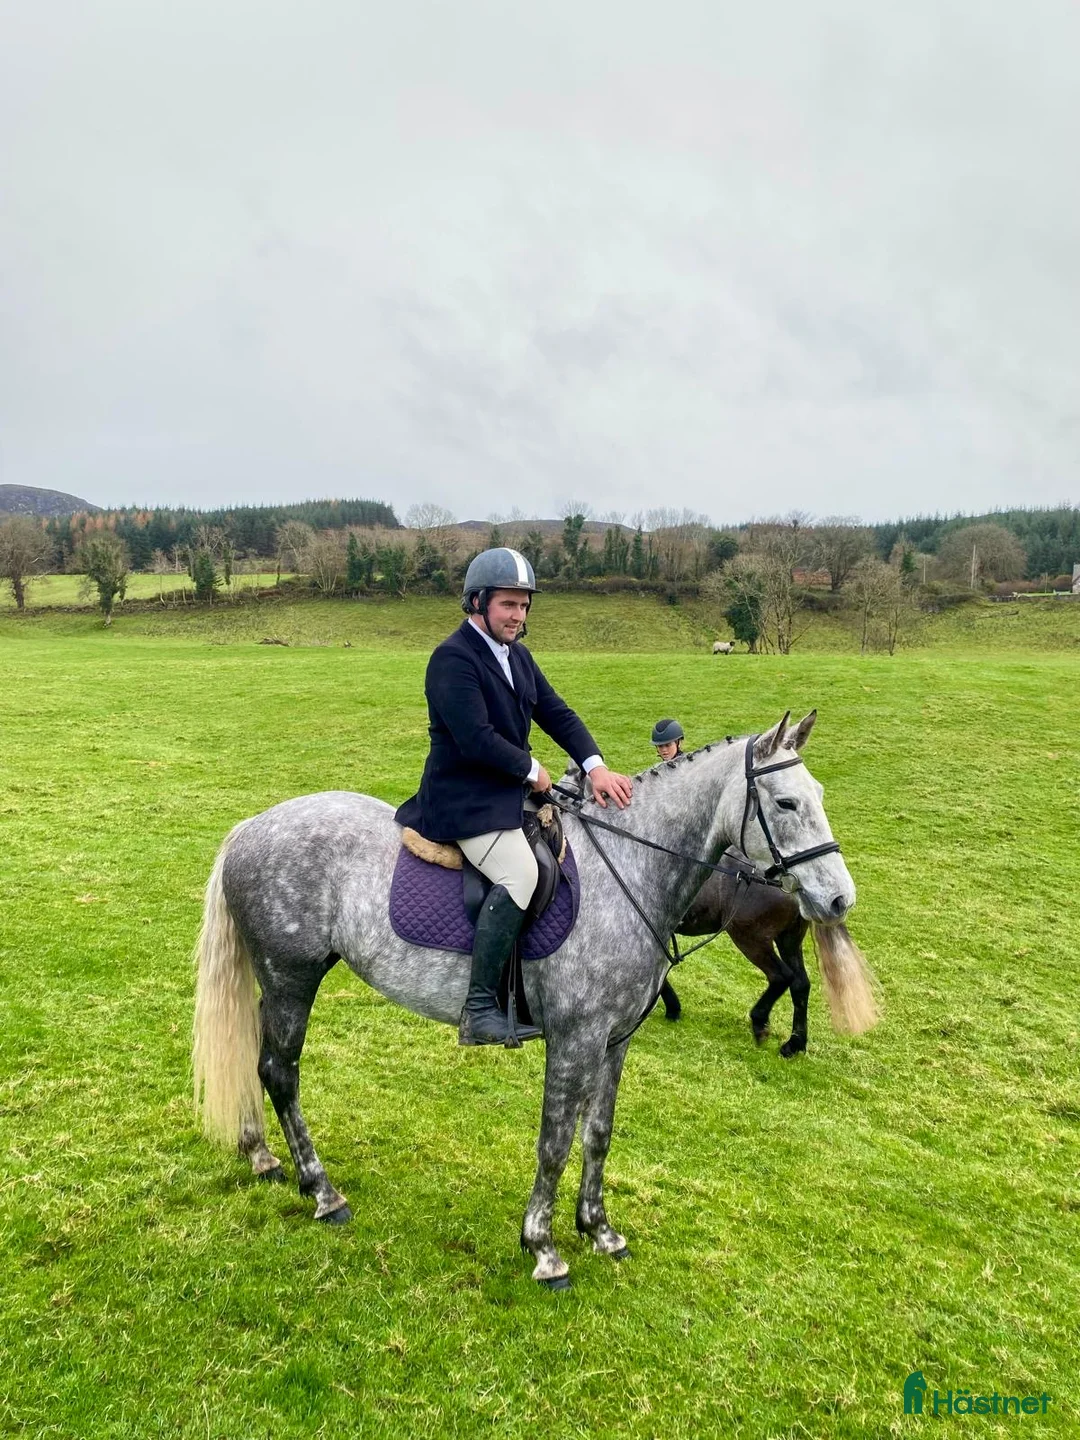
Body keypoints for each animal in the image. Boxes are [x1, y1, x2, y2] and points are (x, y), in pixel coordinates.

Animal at [658, 862, 876, 1054]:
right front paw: (672, 1006)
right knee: (800, 984)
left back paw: (759, 1021)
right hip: (789, 939)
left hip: (750, 938)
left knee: (781, 976)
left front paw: (671, 1006)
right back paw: (795, 1043)